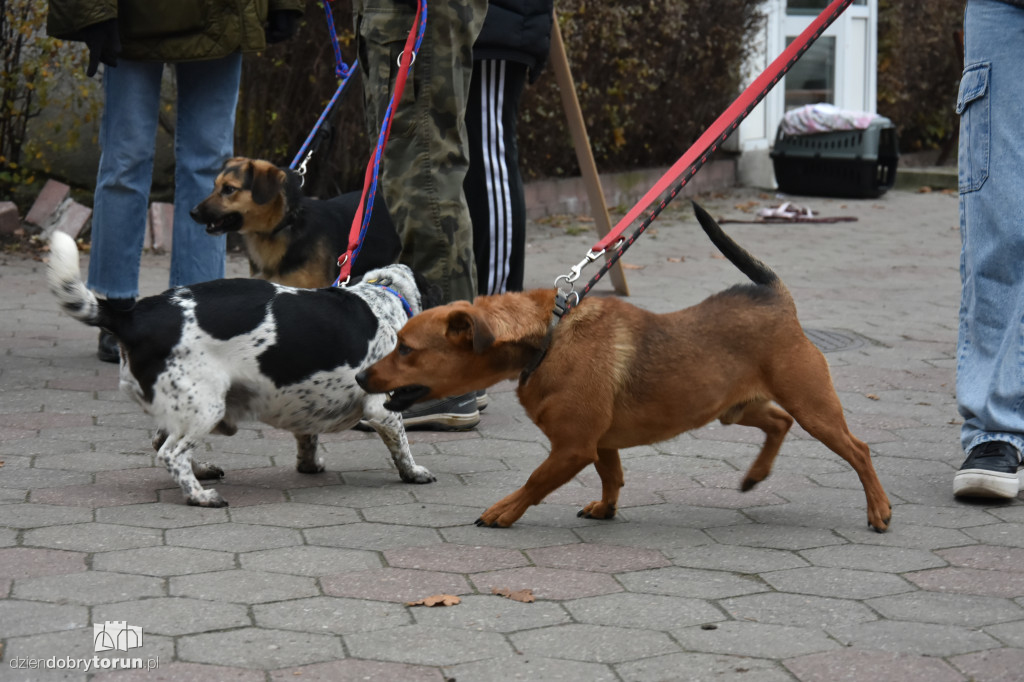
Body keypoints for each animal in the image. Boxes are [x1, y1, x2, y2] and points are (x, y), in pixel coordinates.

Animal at [47, 232, 436, 503]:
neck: (384, 297)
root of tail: (134, 316)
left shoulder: (306, 403)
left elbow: (307, 438)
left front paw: (309, 466)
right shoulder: (382, 409)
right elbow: (402, 446)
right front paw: (414, 472)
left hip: (189, 408)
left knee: (163, 441)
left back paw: (201, 472)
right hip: (207, 407)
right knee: (170, 453)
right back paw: (199, 497)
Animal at [356, 201, 892, 532]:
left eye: (406, 349)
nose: (360, 376)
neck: (547, 337)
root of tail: (774, 297)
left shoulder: (573, 447)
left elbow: (534, 482)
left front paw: (504, 511)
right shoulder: (600, 443)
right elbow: (611, 477)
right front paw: (606, 509)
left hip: (813, 407)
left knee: (859, 450)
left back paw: (879, 509)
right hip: (736, 407)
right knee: (778, 423)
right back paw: (755, 476)